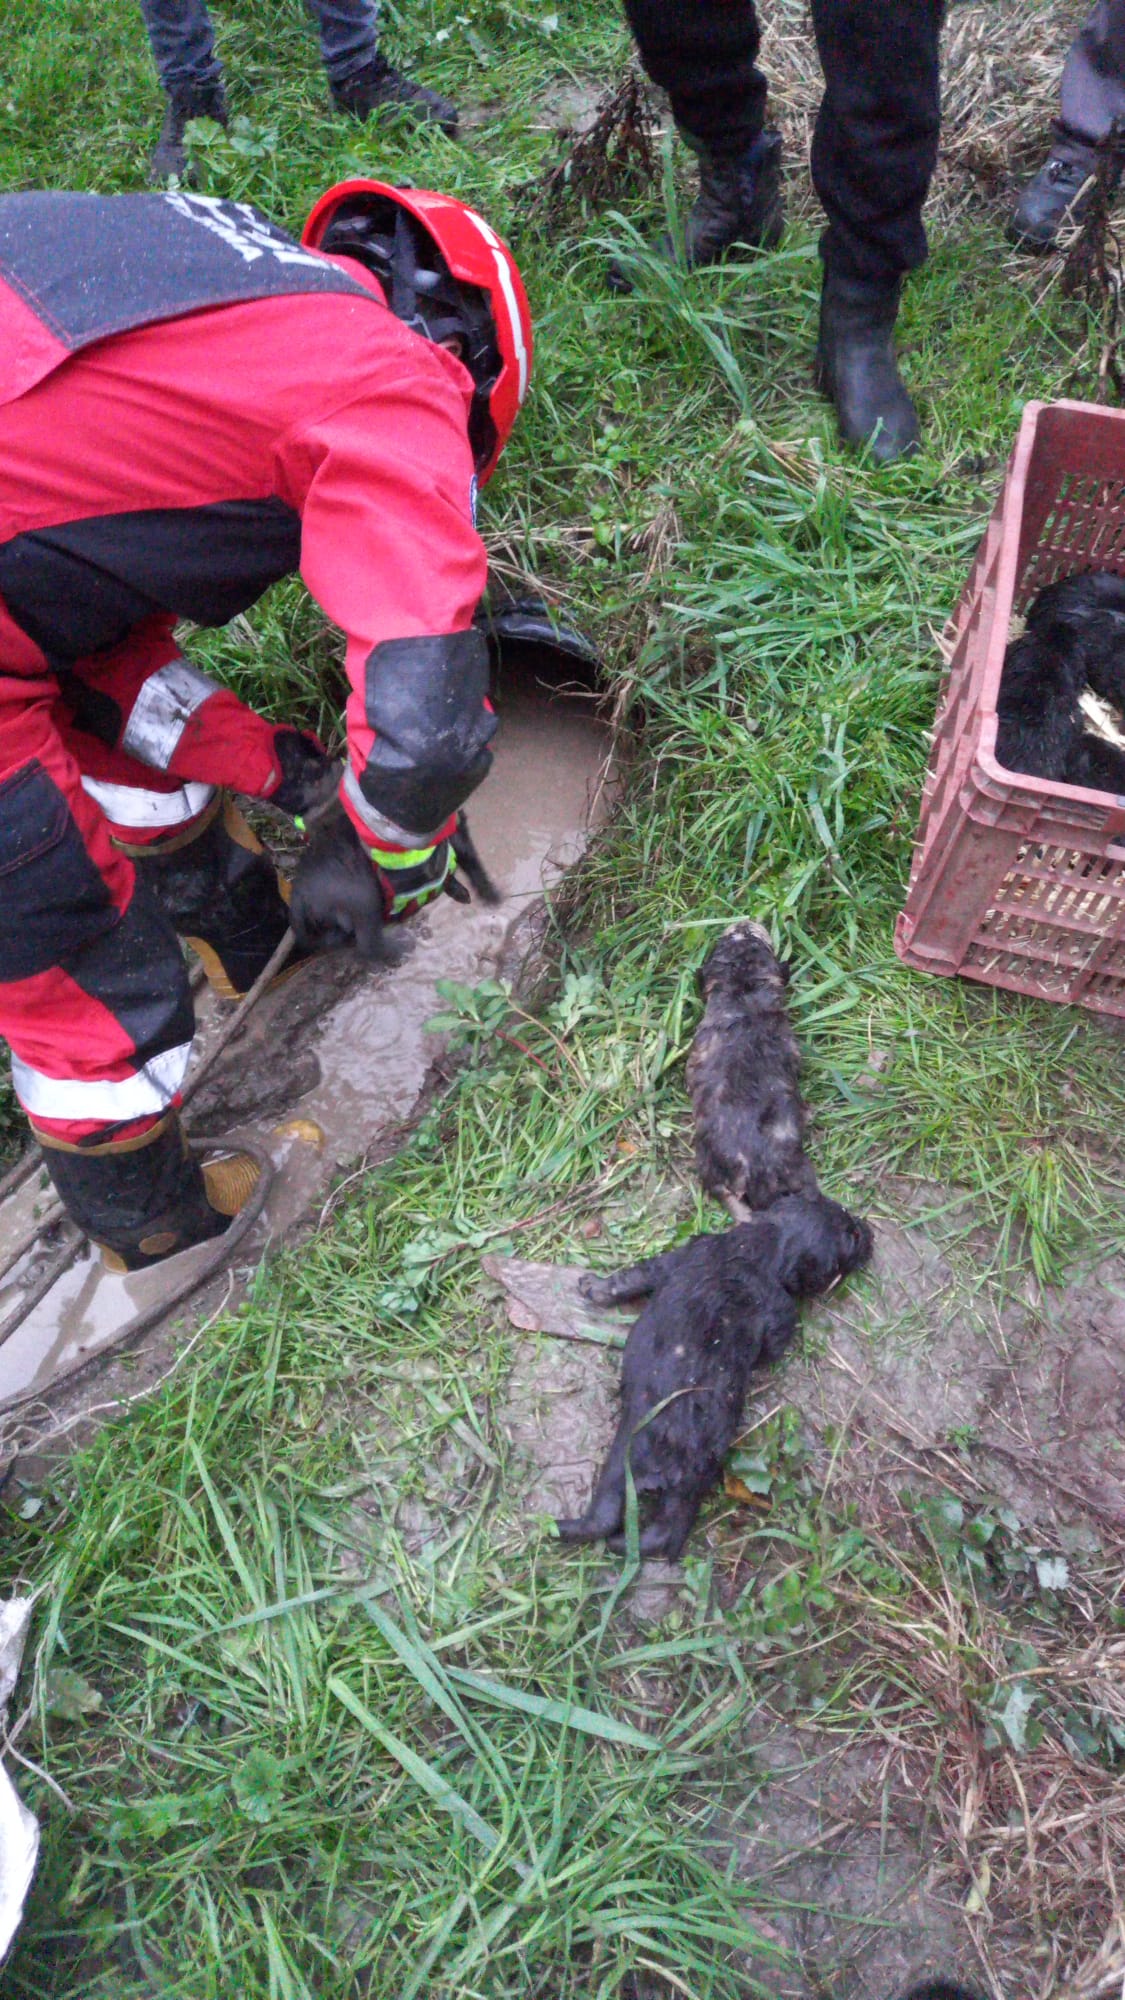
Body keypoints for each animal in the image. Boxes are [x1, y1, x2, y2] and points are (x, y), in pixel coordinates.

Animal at [556, 1192, 872, 1552]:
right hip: (653, 1468)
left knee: (624, 1520)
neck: (763, 1246)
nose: (870, 1231)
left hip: (638, 1465)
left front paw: (591, 1285)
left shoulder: (685, 1255)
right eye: (852, 1235)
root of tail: (672, 1465)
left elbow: (634, 1276)